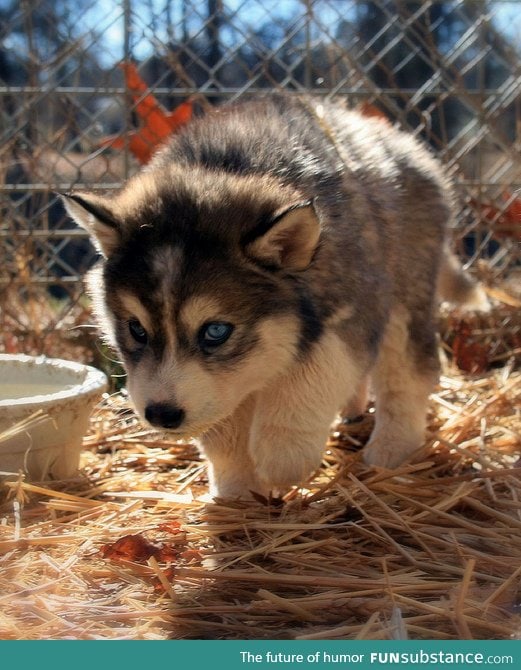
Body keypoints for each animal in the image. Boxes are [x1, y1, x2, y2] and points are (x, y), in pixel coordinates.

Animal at [62, 97, 488, 502]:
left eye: (215, 332)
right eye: (136, 329)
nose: (161, 414)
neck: (227, 167)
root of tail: (402, 141)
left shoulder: (353, 310)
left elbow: (310, 377)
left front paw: (283, 458)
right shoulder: (223, 385)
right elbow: (224, 428)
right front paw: (236, 491)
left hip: (404, 294)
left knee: (409, 372)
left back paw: (391, 449)